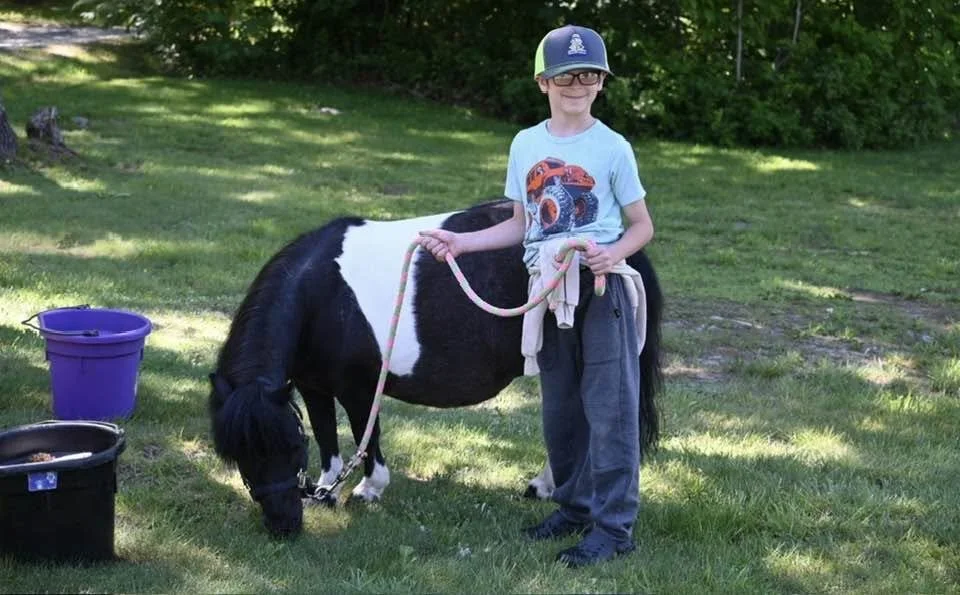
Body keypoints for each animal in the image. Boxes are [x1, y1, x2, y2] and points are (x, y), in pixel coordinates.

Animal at [208, 199, 663, 537]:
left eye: (289, 449)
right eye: (240, 456)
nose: (284, 525)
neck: (324, 296)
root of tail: (615, 247)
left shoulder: (360, 388)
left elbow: (367, 438)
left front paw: (368, 489)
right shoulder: (312, 385)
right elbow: (326, 437)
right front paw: (327, 489)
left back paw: (547, 487)